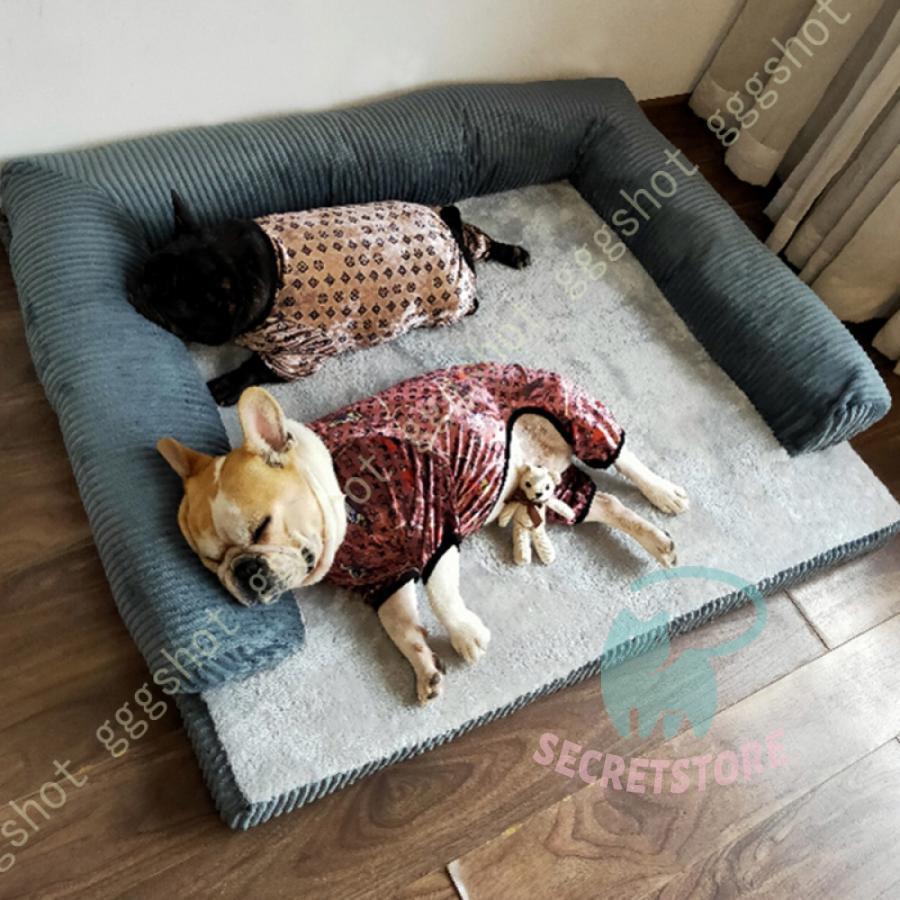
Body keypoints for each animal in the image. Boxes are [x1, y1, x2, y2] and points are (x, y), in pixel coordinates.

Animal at [129, 192, 530, 405]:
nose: (137, 282)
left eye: (171, 301)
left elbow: (257, 367)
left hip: (456, 297)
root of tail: (447, 232)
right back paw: (513, 252)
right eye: (148, 268)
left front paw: (228, 384)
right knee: (475, 239)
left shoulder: (301, 351)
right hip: (446, 226)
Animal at [157, 363, 689, 704]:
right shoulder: (382, 578)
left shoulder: (434, 518)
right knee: (604, 504)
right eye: (211, 562)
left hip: (570, 412)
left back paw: (662, 492)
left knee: (621, 456)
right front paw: (423, 666)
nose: (243, 571)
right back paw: (657, 541)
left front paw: (463, 633)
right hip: (547, 488)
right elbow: (399, 624)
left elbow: (439, 591)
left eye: (262, 527)